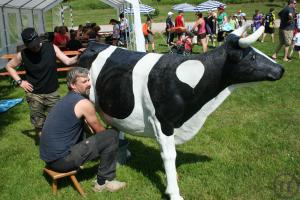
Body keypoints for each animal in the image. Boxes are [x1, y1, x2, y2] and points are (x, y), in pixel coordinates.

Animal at [78, 25, 284, 200]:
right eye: (252, 57)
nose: (281, 69)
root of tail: (93, 44)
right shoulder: (163, 122)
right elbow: (169, 156)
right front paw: (174, 193)